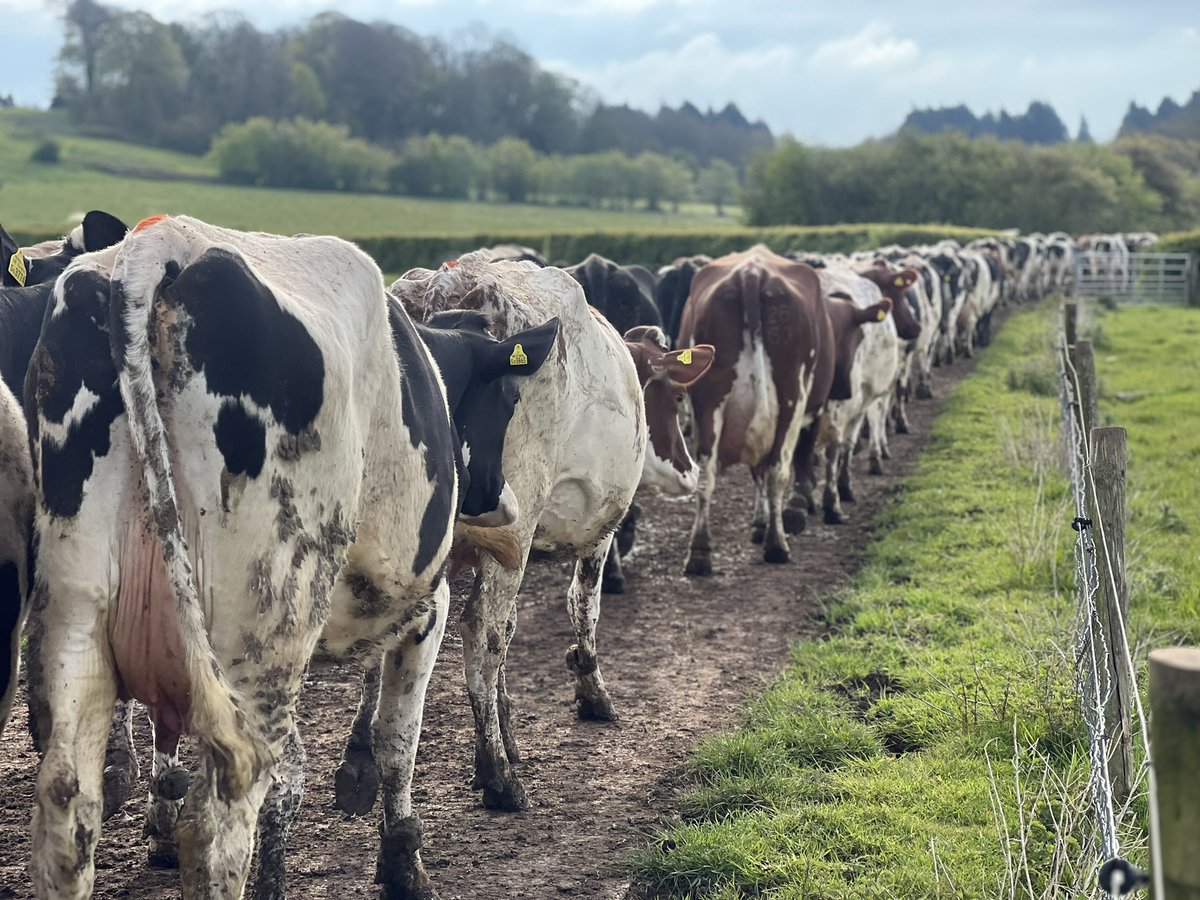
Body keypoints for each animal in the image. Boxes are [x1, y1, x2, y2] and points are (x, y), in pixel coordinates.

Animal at [24, 218, 549, 900]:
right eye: (509, 402)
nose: (495, 495)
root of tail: (162, 244)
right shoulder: (424, 605)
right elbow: (396, 739)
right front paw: (403, 866)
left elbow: (296, 776)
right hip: (262, 634)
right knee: (217, 828)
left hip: (80, 622)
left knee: (68, 813)